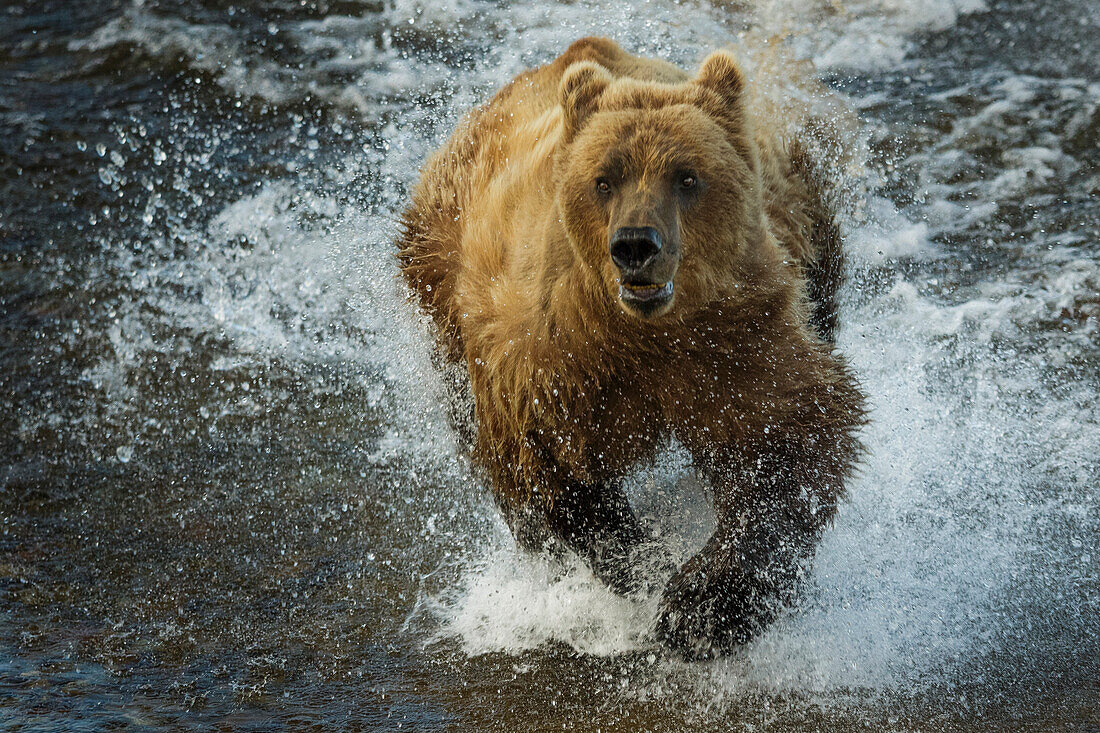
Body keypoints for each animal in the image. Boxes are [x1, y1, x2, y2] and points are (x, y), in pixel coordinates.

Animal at [398, 35, 866, 655]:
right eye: (604, 179)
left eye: (687, 176)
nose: (636, 245)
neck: (643, 334)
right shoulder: (554, 361)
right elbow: (548, 467)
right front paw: (648, 568)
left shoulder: (737, 337)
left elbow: (787, 440)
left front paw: (701, 608)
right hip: (439, 276)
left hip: (801, 216)